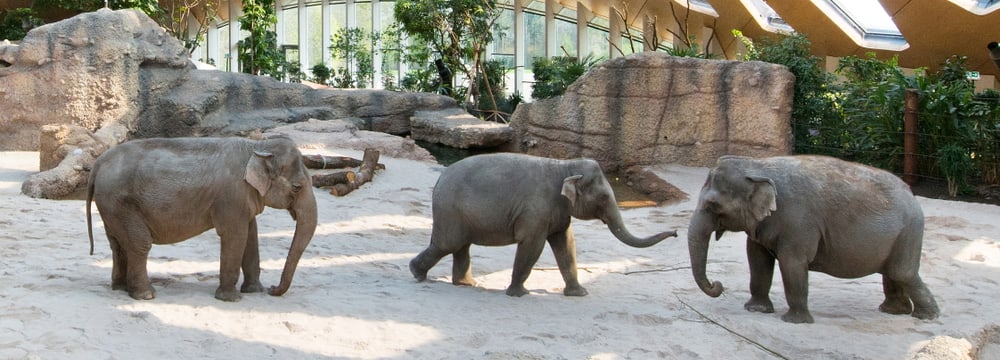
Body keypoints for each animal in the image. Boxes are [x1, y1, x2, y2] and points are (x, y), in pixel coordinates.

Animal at [89, 136, 318, 302]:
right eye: (297, 187)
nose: (273, 288)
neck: (256, 146)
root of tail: (98, 163)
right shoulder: (231, 197)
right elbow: (236, 236)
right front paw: (231, 299)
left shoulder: (242, 201)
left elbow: (251, 236)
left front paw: (255, 291)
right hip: (120, 203)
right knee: (139, 244)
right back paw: (146, 295)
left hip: (111, 205)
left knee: (118, 244)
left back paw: (121, 288)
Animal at [408, 152, 680, 296]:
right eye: (603, 197)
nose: (676, 232)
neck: (565, 165)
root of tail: (440, 179)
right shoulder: (536, 211)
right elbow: (532, 246)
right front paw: (518, 294)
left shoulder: (557, 212)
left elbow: (566, 245)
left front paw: (579, 294)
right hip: (450, 211)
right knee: (447, 244)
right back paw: (417, 274)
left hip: (462, 215)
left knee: (460, 246)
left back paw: (466, 284)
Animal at [688, 155, 936, 324]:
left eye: (713, 205)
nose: (717, 285)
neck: (757, 165)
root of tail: (911, 193)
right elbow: (757, 259)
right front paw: (756, 310)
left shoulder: (799, 222)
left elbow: (792, 264)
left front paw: (794, 321)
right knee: (892, 274)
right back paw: (894, 311)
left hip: (909, 231)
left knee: (901, 273)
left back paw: (927, 316)